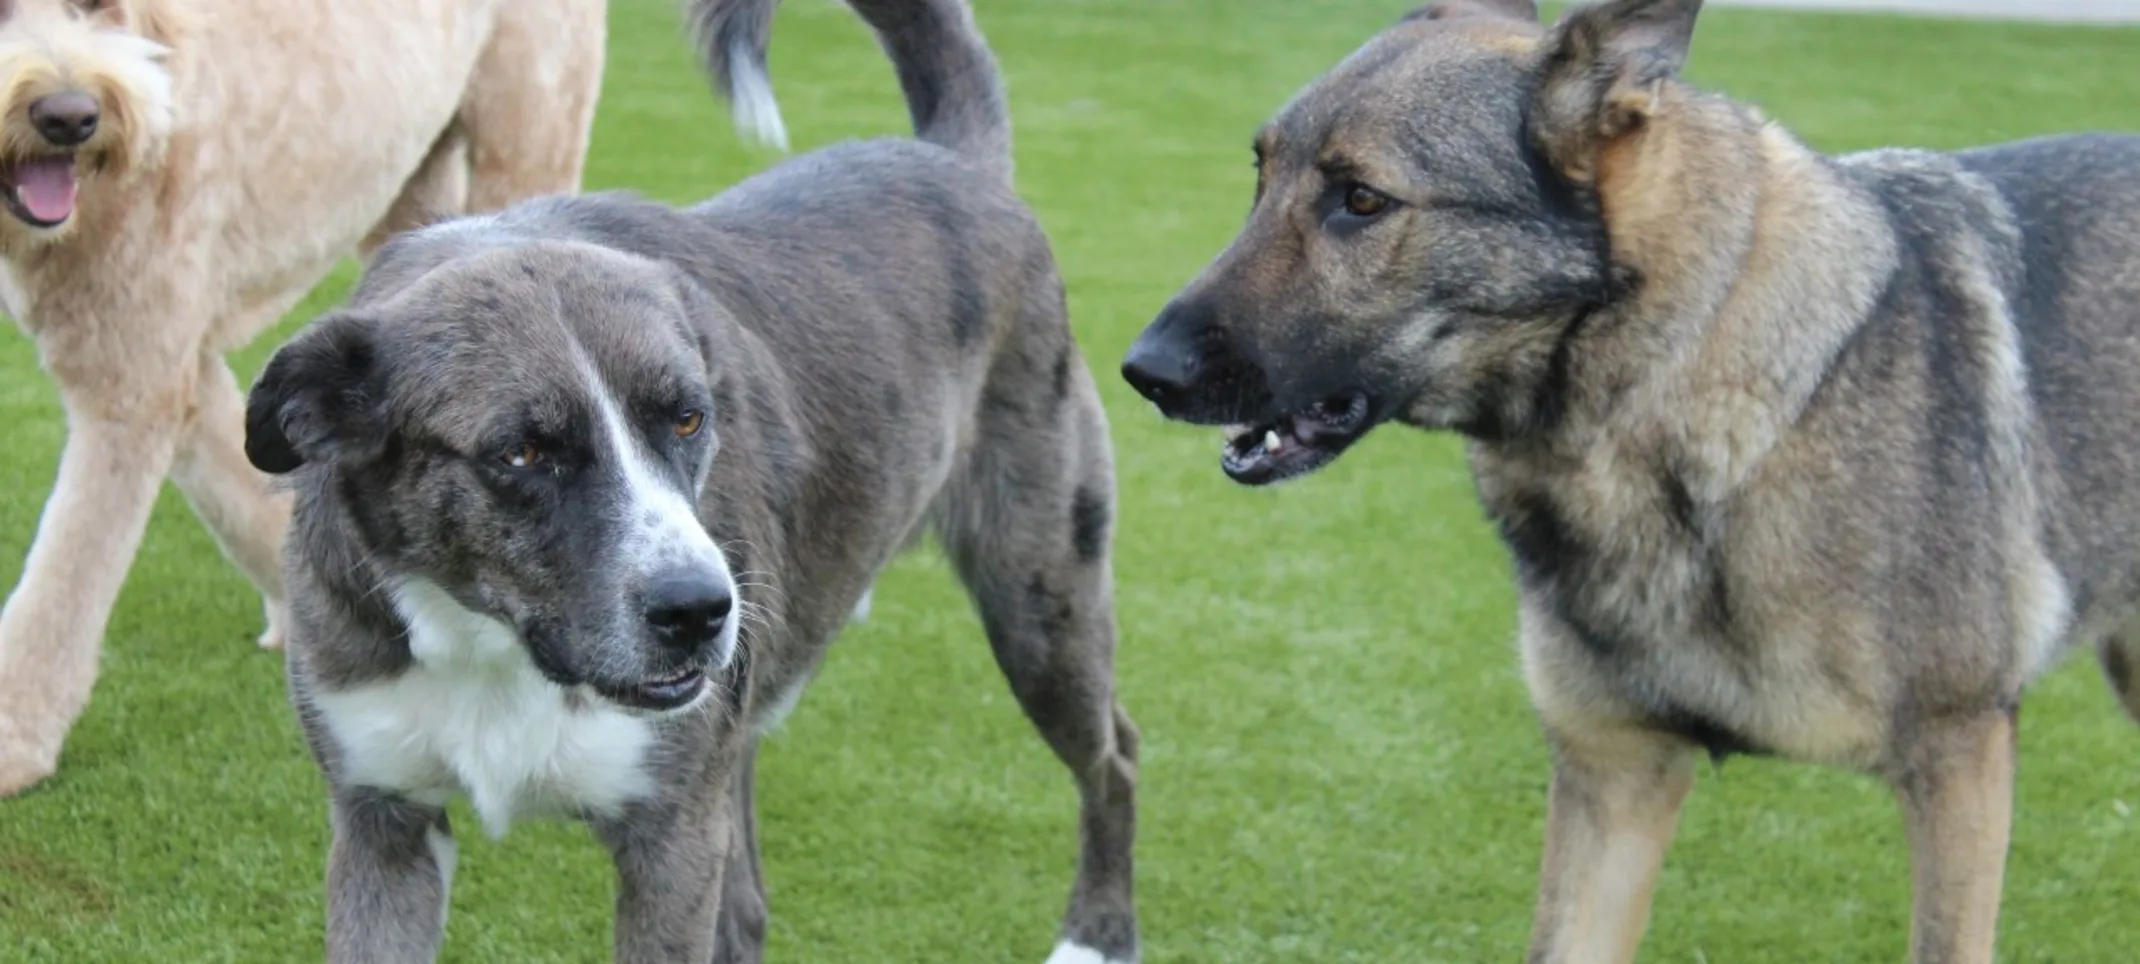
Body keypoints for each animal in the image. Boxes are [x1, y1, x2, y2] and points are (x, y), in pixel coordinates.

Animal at [0, 0, 612, 796]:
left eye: (92, 8)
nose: (70, 116)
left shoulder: (134, 375)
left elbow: (64, 580)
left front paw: (14, 739)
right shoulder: (169, 355)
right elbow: (238, 480)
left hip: (527, 128)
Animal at [246, 1, 1138, 964]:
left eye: (687, 419)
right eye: (521, 454)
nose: (699, 610)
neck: (494, 645)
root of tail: (952, 160)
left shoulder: (670, 842)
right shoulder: (383, 824)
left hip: (1040, 605)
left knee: (1116, 754)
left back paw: (1096, 934)